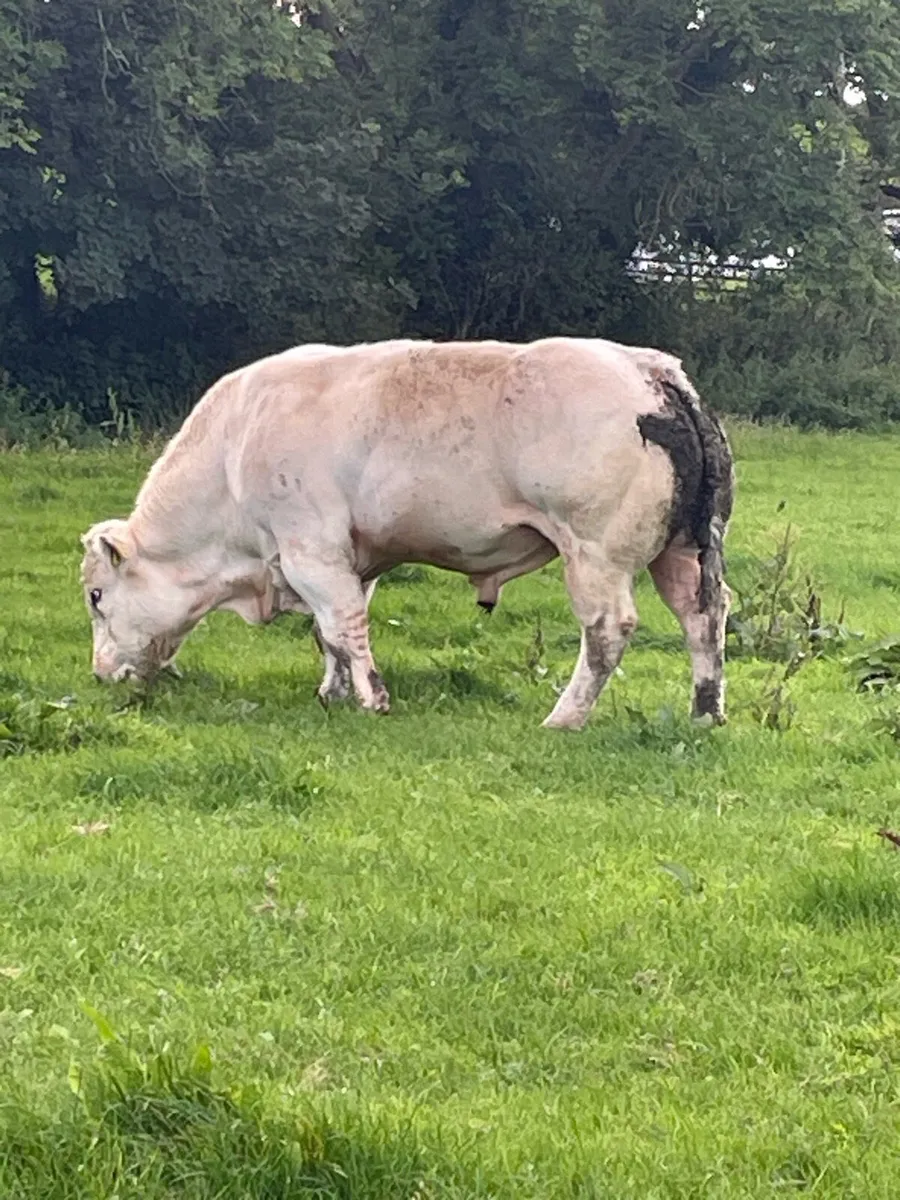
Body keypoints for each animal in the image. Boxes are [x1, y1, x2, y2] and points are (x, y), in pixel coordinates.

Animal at [80, 337, 733, 728]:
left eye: (96, 596)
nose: (101, 673)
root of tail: (650, 369)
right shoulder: (349, 557)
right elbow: (330, 635)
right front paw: (333, 692)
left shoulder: (311, 551)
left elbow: (344, 625)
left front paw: (372, 699)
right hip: (683, 552)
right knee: (705, 619)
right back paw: (706, 712)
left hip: (594, 553)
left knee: (606, 632)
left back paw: (564, 718)